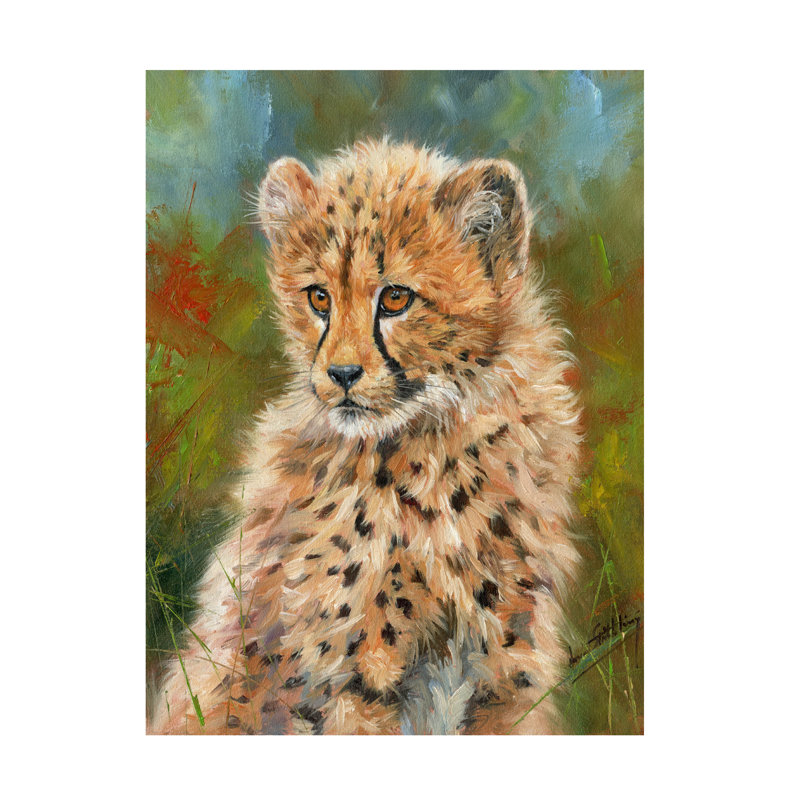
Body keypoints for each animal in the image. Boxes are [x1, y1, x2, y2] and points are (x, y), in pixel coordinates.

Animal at [148, 138, 582, 735]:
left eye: (396, 297)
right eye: (319, 298)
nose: (343, 374)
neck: (434, 448)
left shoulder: (506, 676)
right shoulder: (350, 681)